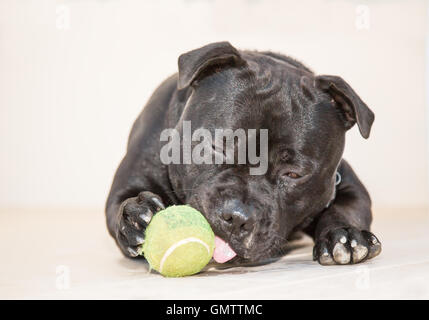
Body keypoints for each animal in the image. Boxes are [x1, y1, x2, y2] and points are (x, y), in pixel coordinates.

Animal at [106, 41, 382, 266]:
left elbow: (348, 207)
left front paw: (345, 235)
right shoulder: (132, 179)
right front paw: (137, 217)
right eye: (216, 147)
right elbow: (120, 204)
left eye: (294, 174)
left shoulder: (346, 184)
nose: (237, 217)